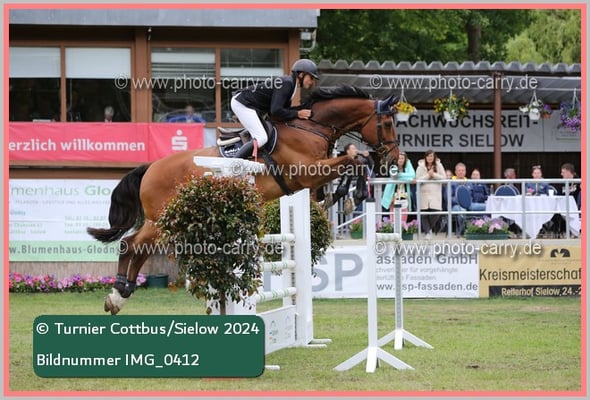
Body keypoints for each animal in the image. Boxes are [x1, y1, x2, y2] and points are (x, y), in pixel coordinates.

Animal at [87, 86, 399, 314]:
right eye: (386, 123)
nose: (394, 159)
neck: (312, 127)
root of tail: (151, 167)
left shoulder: (313, 179)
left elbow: (351, 163)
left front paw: (345, 194)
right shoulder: (308, 174)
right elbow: (353, 159)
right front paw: (356, 192)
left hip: (165, 222)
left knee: (139, 248)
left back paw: (120, 295)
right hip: (161, 219)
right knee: (130, 244)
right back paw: (118, 291)